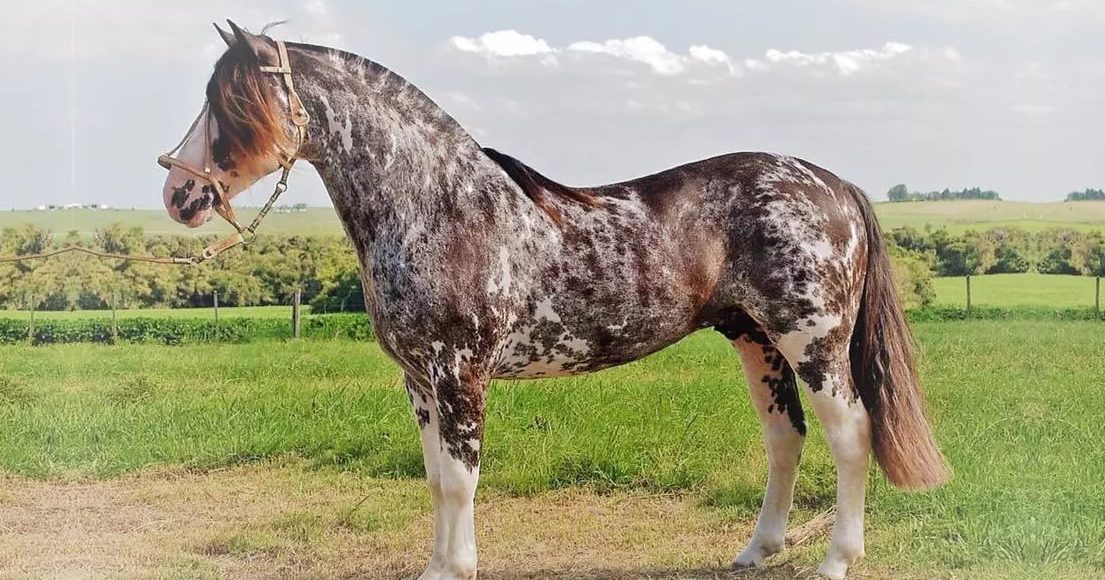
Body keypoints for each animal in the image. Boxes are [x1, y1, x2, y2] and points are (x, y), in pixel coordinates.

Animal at [159, 21, 949, 580]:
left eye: (229, 103)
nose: (178, 193)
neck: (438, 207)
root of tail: (831, 184)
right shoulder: (420, 380)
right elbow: (435, 479)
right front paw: (437, 564)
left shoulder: (459, 374)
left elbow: (459, 481)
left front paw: (455, 569)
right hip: (754, 339)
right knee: (785, 438)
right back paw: (757, 550)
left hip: (811, 340)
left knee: (850, 434)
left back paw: (836, 560)